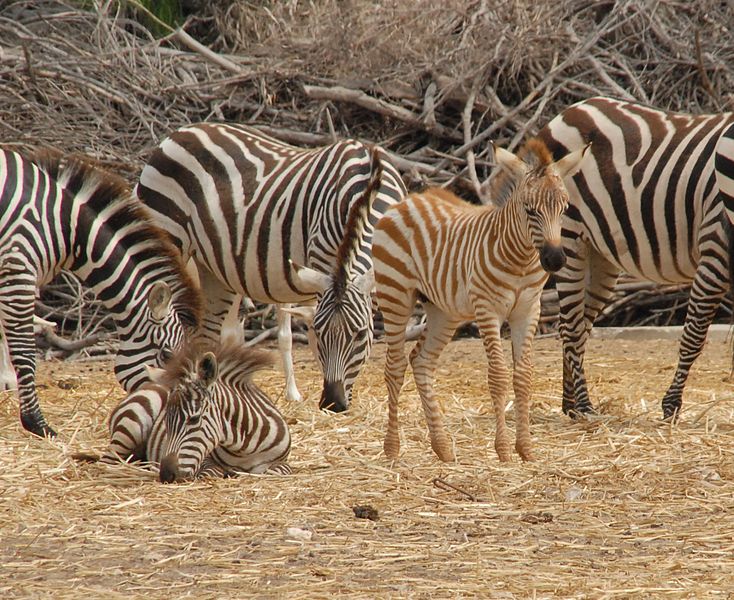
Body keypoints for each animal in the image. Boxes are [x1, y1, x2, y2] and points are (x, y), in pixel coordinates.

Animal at [0, 146, 201, 436]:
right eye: (166, 355)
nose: (169, 417)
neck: (67, 229)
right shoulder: (18, 266)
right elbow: (24, 348)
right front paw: (36, 422)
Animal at [92, 342, 296, 482]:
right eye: (165, 421)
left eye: (194, 419)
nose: (166, 475)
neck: (245, 448)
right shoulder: (205, 460)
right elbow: (212, 472)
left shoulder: (283, 463)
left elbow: (275, 472)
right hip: (132, 425)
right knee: (106, 463)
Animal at [135, 122, 406, 412]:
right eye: (320, 334)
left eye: (360, 335)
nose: (333, 403)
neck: (367, 188)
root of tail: (181, 132)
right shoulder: (321, 263)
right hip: (168, 235)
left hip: (212, 268)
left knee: (208, 331)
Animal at [376, 139, 588, 464]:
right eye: (529, 210)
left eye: (564, 208)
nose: (555, 260)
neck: (521, 260)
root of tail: (409, 200)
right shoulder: (488, 310)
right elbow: (499, 377)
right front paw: (503, 450)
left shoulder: (529, 310)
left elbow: (523, 377)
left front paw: (526, 449)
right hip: (395, 294)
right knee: (395, 366)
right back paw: (392, 449)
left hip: (443, 310)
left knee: (421, 361)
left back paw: (442, 447)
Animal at [536, 96, 734, 420]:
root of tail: (573, 109)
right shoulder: (715, 244)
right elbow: (694, 334)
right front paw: (671, 405)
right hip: (568, 236)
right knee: (571, 325)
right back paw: (585, 406)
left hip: (599, 254)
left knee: (578, 323)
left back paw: (571, 405)